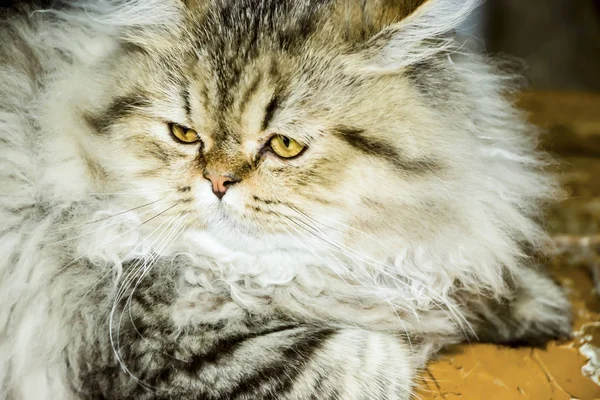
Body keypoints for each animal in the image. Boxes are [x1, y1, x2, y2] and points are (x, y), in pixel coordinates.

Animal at [0, 0, 572, 400]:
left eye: (285, 146)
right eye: (185, 135)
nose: (218, 183)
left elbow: (461, 269)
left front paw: (533, 306)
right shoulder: (161, 350)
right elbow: (384, 350)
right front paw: (442, 322)